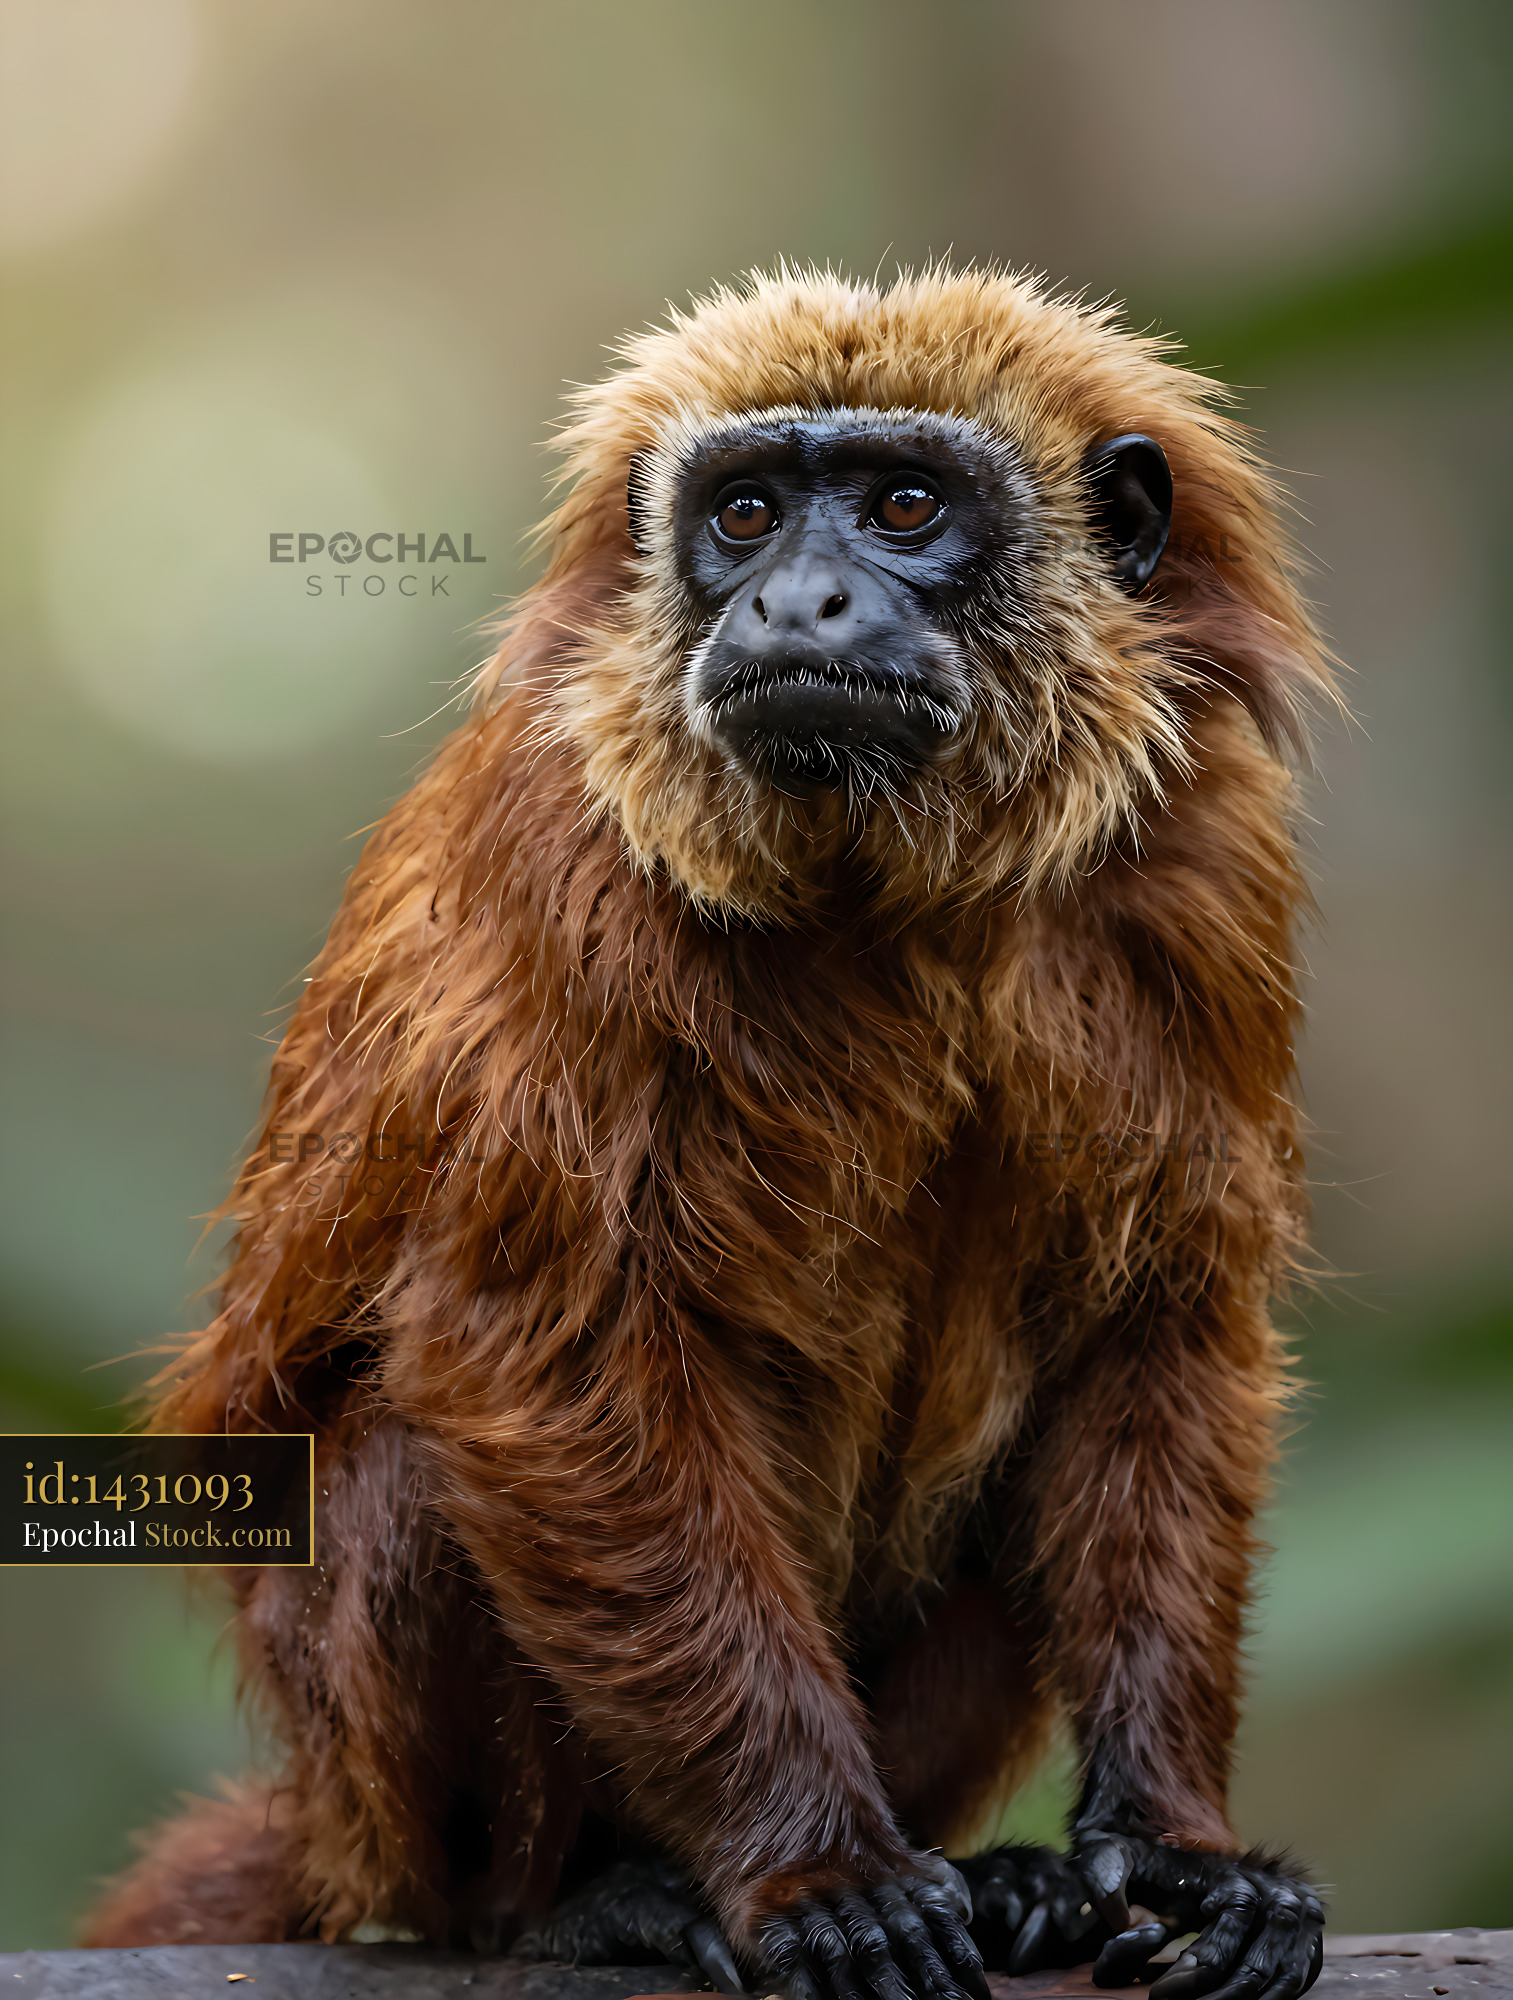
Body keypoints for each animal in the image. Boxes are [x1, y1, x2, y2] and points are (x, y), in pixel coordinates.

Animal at [84, 265, 1332, 2000]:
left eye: (902, 504)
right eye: (744, 515)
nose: (794, 606)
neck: (908, 886)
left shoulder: (1206, 860)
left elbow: (1157, 1327)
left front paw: (1167, 1849)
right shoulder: (567, 847)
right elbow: (531, 1350)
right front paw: (816, 1872)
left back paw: (999, 1880)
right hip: (375, 1791)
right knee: (404, 1465)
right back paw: (576, 1899)